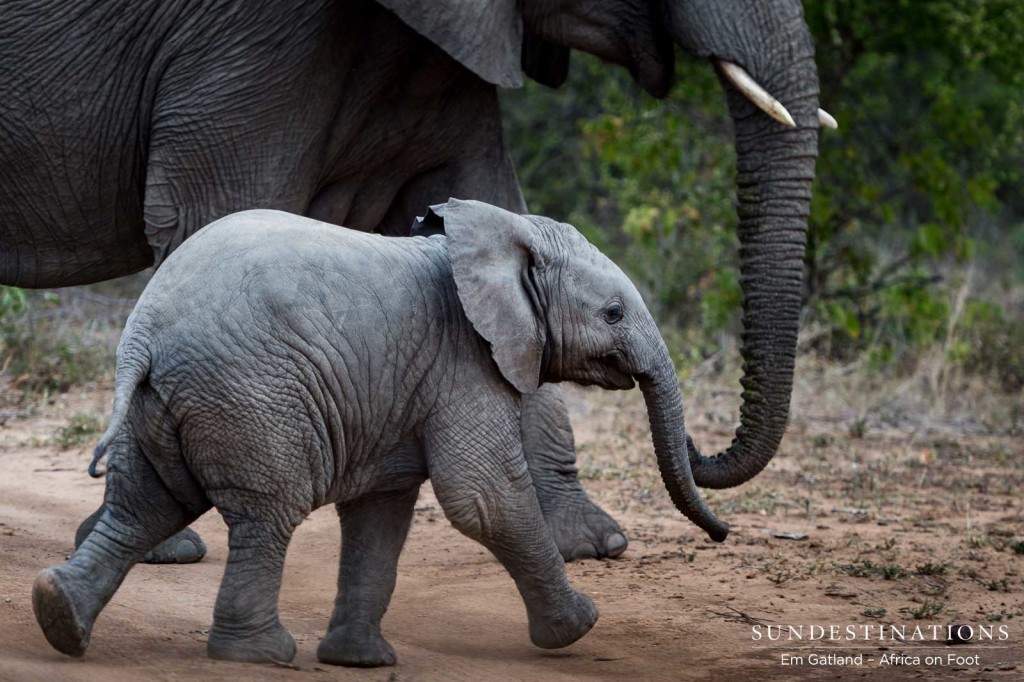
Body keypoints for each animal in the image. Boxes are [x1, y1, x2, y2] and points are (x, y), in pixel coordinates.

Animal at [0, 0, 827, 561]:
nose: (699, 452)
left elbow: (483, 198)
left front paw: (593, 545)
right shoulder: (242, 41)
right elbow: (216, 214)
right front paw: (161, 540)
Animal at [32, 196, 729, 663]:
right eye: (612, 314)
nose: (722, 533)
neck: (500, 235)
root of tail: (142, 335)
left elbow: (382, 513)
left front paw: (359, 662)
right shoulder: (464, 361)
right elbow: (484, 499)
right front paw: (581, 625)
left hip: (163, 404)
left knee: (143, 507)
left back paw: (59, 617)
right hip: (250, 394)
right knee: (266, 512)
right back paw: (259, 656)